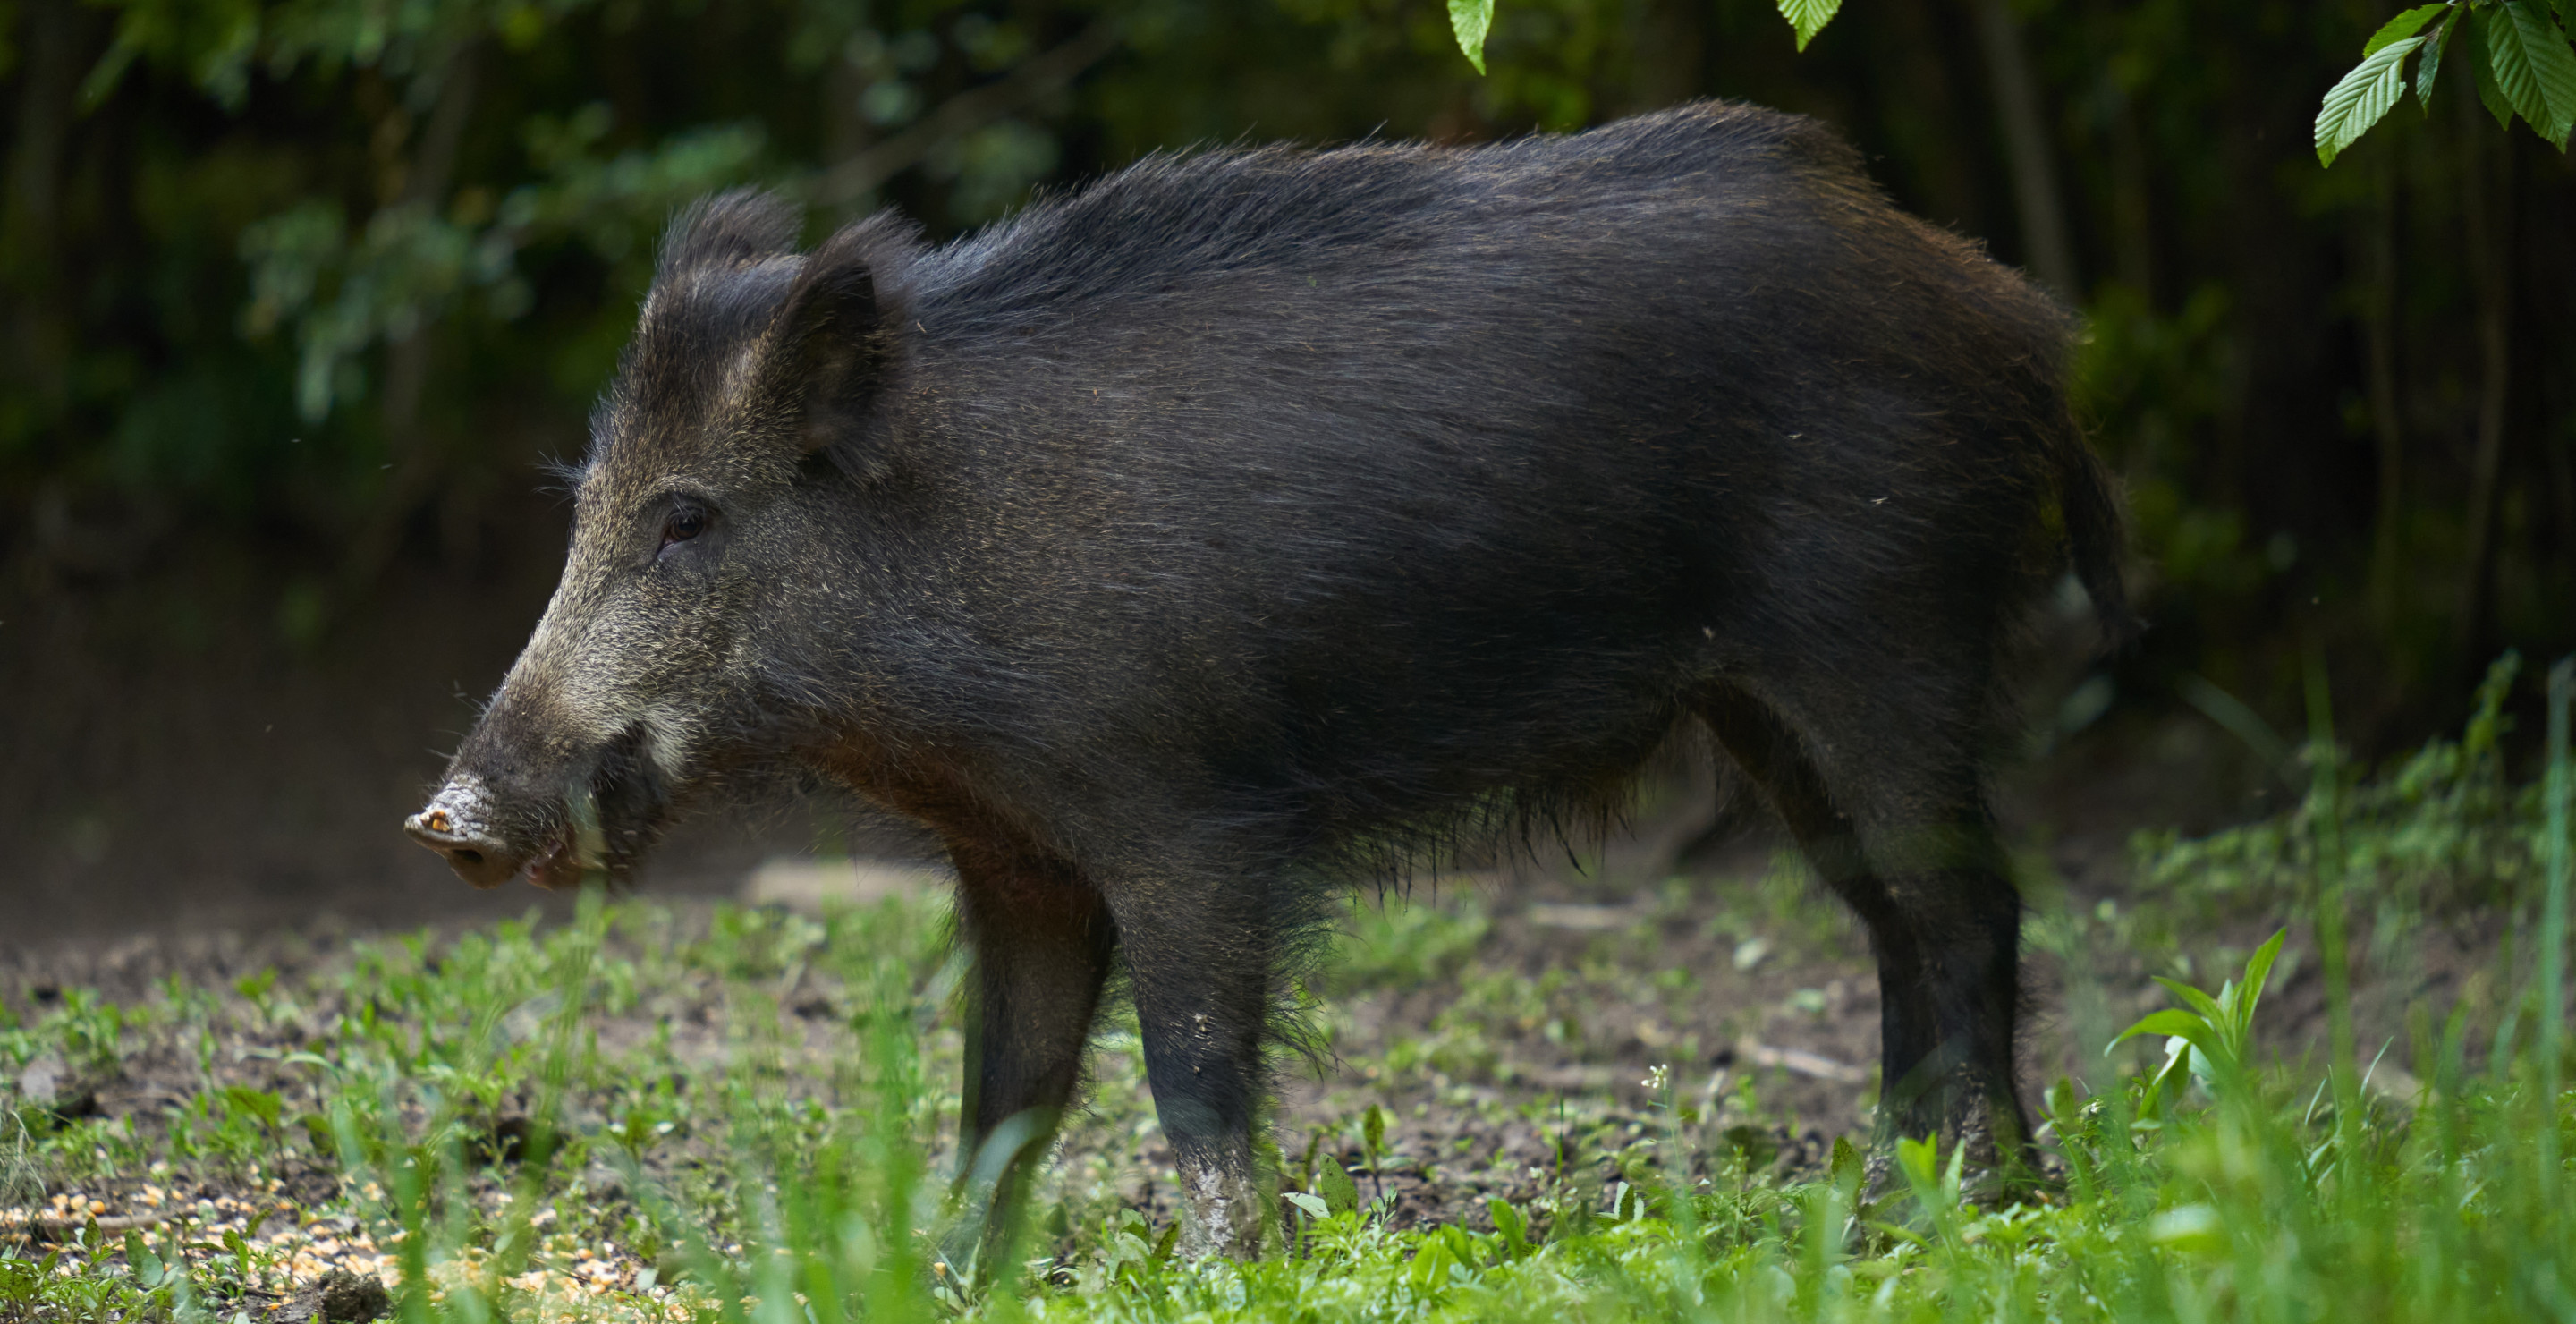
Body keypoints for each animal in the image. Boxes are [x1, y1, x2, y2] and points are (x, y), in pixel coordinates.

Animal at [405, 99, 2131, 1259]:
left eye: (689, 517)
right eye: (588, 501)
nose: (447, 820)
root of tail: (2028, 322)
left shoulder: (1190, 824)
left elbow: (1189, 1079)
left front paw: (1239, 1271)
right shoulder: (1015, 858)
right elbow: (1004, 1094)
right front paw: (954, 1274)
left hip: (1886, 640)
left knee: (1972, 906)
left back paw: (1991, 1202)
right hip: (1765, 712)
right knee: (1894, 921)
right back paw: (1895, 1196)